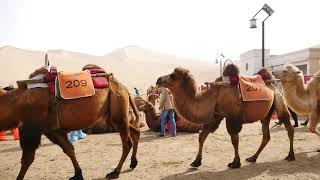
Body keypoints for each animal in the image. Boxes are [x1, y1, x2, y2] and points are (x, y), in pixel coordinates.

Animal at [0, 64, 141, 179]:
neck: (15, 103)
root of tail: (124, 87)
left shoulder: (30, 128)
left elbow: (27, 159)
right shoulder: (52, 130)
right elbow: (69, 149)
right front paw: (78, 174)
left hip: (118, 106)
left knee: (127, 143)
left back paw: (115, 172)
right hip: (111, 115)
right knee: (135, 131)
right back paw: (133, 163)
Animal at [156, 65, 296, 169]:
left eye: (173, 76)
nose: (158, 79)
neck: (213, 97)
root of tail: (272, 83)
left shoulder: (232, 117)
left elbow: (234, 140)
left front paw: (235, 163)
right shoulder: (215, 117)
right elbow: (202, 137)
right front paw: (196, 161)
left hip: (279, 100)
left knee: (288, 127)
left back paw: (290, 155)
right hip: (266, 114)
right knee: (266, 136)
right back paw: (252, 158)